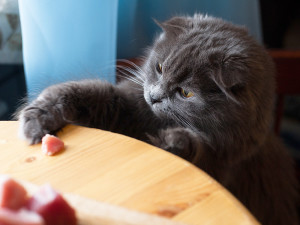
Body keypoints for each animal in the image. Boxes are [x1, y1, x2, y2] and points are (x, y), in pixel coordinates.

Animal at [18, 14, 298, 224]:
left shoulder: (221, 160)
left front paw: (170, 141)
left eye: (185, 93)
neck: (154, 121)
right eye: (160, 68)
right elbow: (83, 92)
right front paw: (38, 119)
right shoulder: (126, 103)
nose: (154, 97)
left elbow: (194, 146)